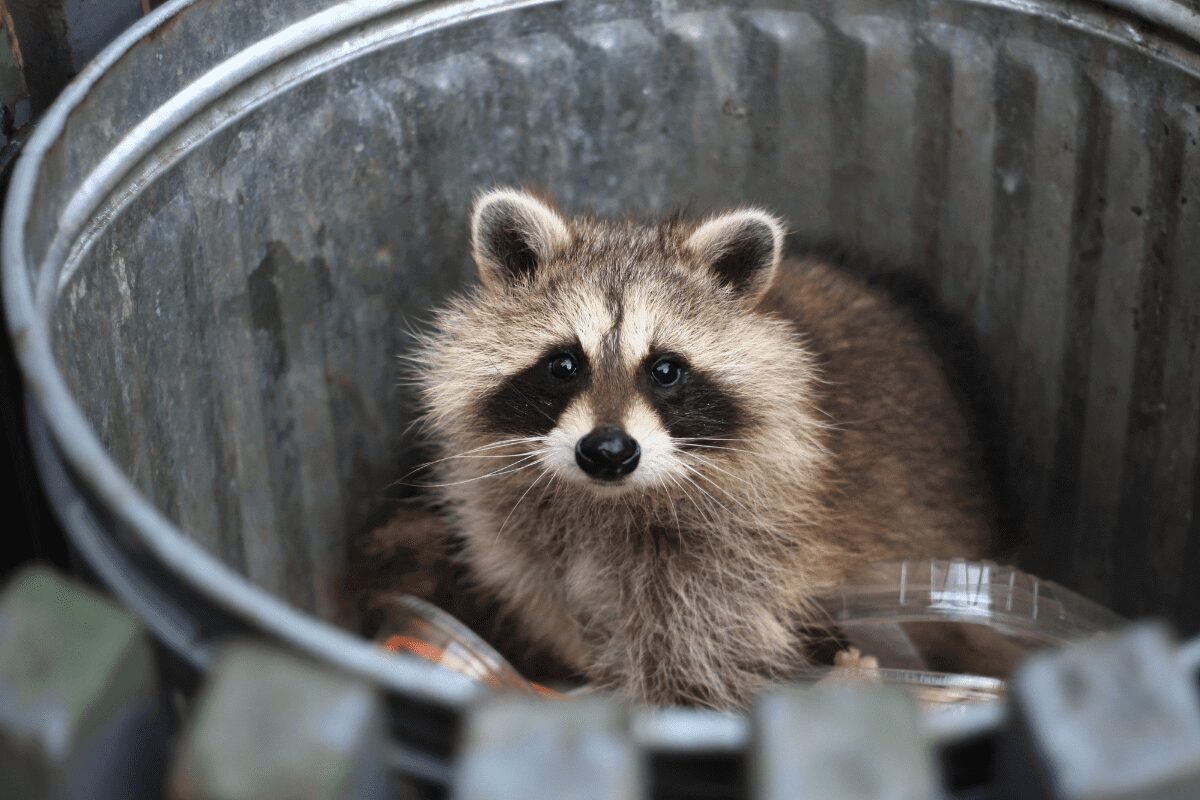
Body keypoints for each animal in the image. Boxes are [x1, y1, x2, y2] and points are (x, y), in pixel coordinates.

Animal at [407, 188, 995, 709]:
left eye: (665, 370)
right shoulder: (522, 540)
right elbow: (557, 605)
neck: (607, 502)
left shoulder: (743, 553)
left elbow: (696, 659)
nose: (608, 452)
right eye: (563, 364)